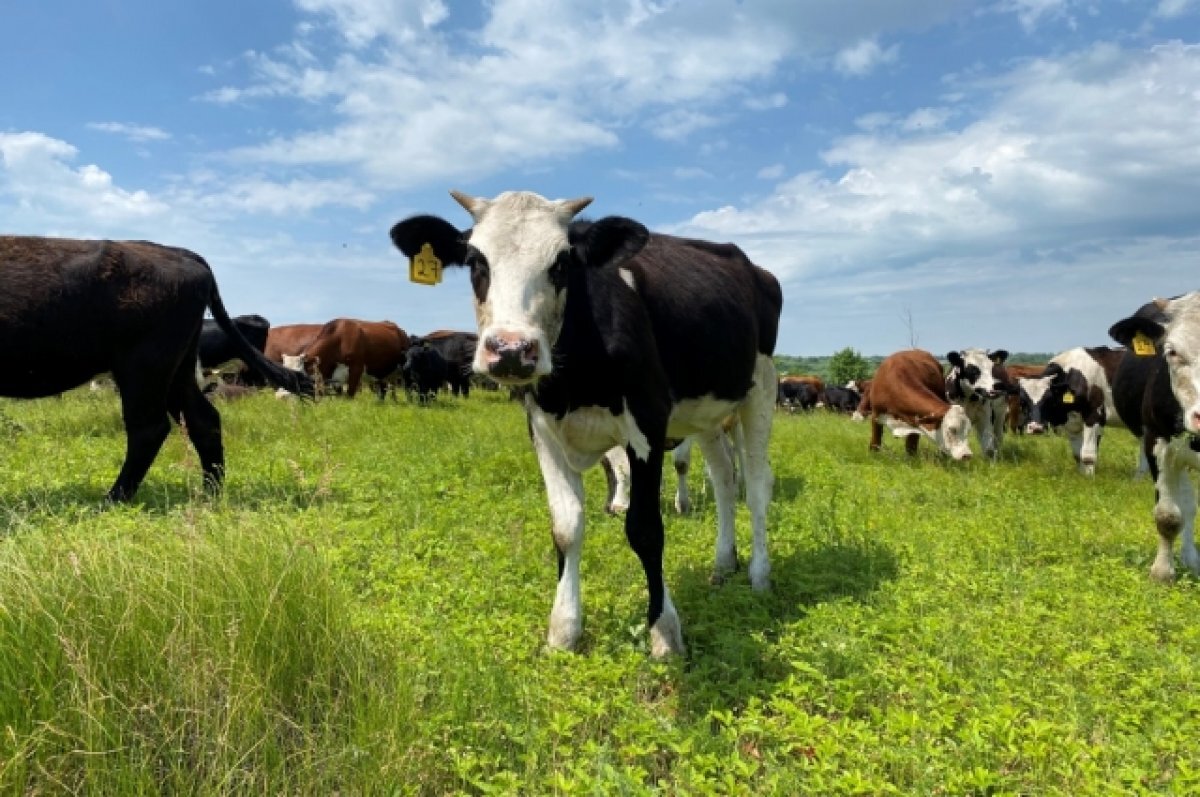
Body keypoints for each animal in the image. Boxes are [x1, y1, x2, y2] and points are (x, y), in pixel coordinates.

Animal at [0, 234, 314, 501]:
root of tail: (178, 252)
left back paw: (114, 498)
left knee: (149, 428)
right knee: (203, 420)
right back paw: (210, 494)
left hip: (144, 368)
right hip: (177, 371)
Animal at [391, 189, 787, 657]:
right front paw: (563, 629)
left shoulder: (647, 423)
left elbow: (645, 529)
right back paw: (724, 562)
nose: (511, 350)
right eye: (475, 261)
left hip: (761, 387)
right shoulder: (542, 429)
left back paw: (760, 576)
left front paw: (664, 631)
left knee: (757, 485)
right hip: (707, 411)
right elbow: (565, 528)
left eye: (561, 263)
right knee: (725, 479)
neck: (574, 377)